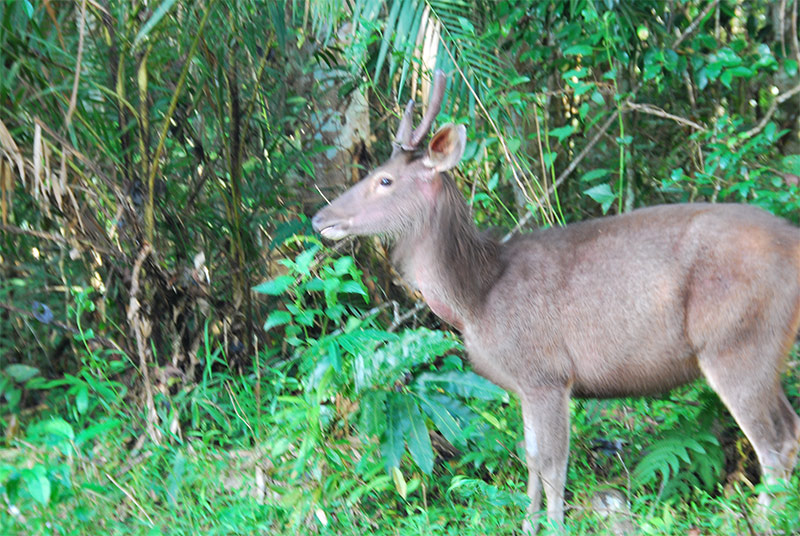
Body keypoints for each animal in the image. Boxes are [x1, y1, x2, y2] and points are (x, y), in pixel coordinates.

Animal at [310, 70, 800, 528]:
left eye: (385, 179)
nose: (320, 218)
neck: (477, 298)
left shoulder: (546, 371)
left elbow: (551, 463)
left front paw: (554, 523)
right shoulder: (526, 383)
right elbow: (529, 457)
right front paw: (527, 523)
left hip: (737, 338)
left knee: (773, 443)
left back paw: (764, 521)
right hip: (763, 345)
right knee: (791, 429)